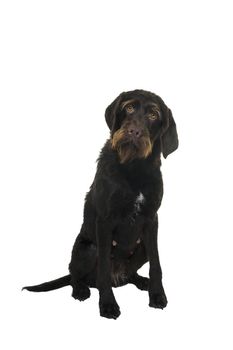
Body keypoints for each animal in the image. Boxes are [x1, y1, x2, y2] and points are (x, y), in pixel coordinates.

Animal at [23, 89, 178, 318]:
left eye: (153, 114)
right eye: (129, 107)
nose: (133, 131)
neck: (134, 167)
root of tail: (118, 277)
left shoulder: (151, 220)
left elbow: (156, 264)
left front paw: (157, 295)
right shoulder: (105, 221)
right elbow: (103, 270)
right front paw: (107, 304)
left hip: (140, 247)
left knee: (130, 274)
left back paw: (141, 281)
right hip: (88, 248)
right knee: (76, 275)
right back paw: (80, 290)